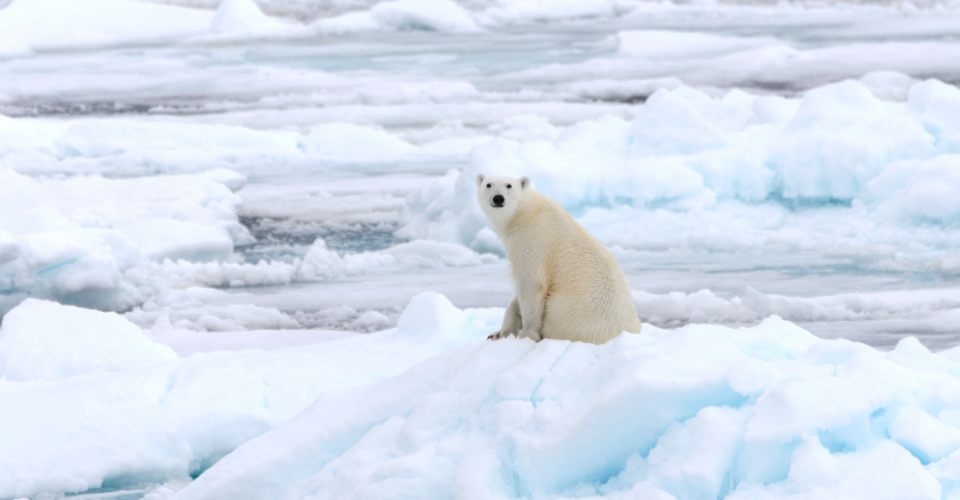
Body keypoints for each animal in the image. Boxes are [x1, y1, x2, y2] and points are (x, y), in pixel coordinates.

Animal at [476, 174, 642, 345]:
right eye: (489, 184)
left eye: (509, 185)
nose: (498, 198)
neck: (523, 213)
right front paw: (498, 333)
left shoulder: (535, 240)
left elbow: (531, 283)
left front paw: (527, 335)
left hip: (569, 314)